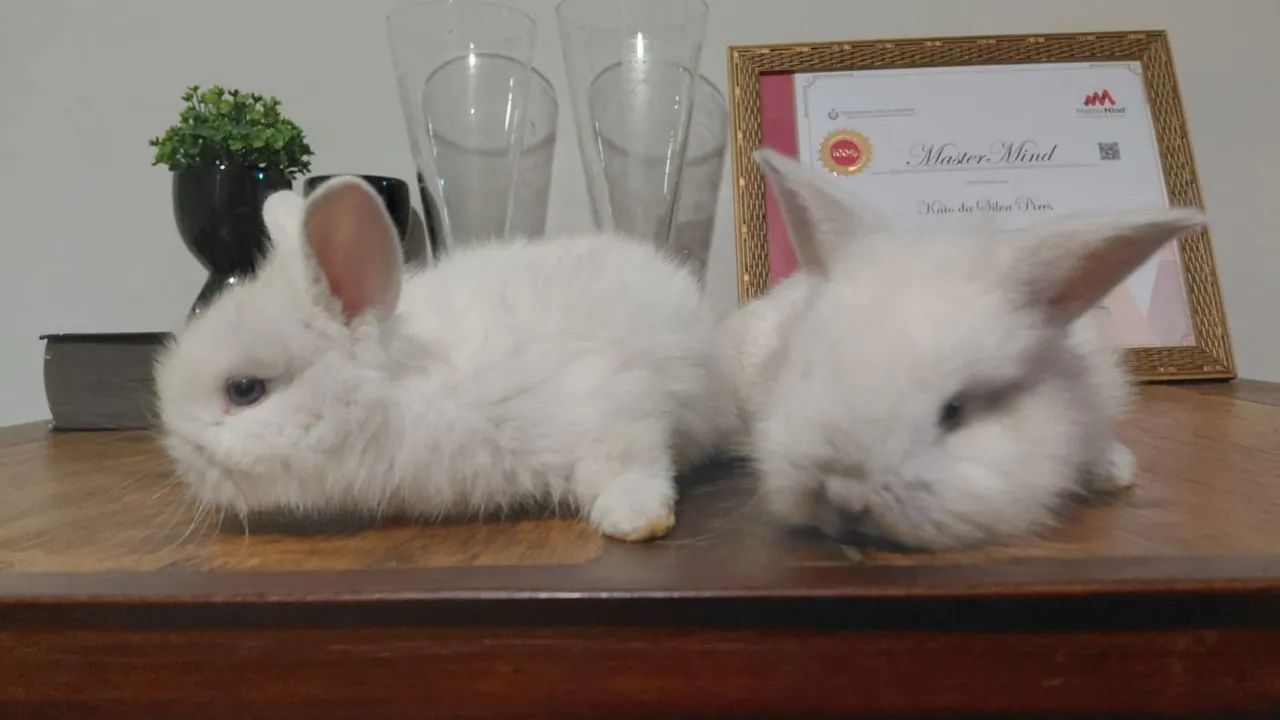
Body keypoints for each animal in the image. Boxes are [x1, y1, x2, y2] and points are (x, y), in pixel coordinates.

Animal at [154, 176, 734, 542]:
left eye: (244, 390)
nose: (182, 461)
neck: (403, 390)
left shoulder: (608, 406)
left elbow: (629, 464)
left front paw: (635, 522)